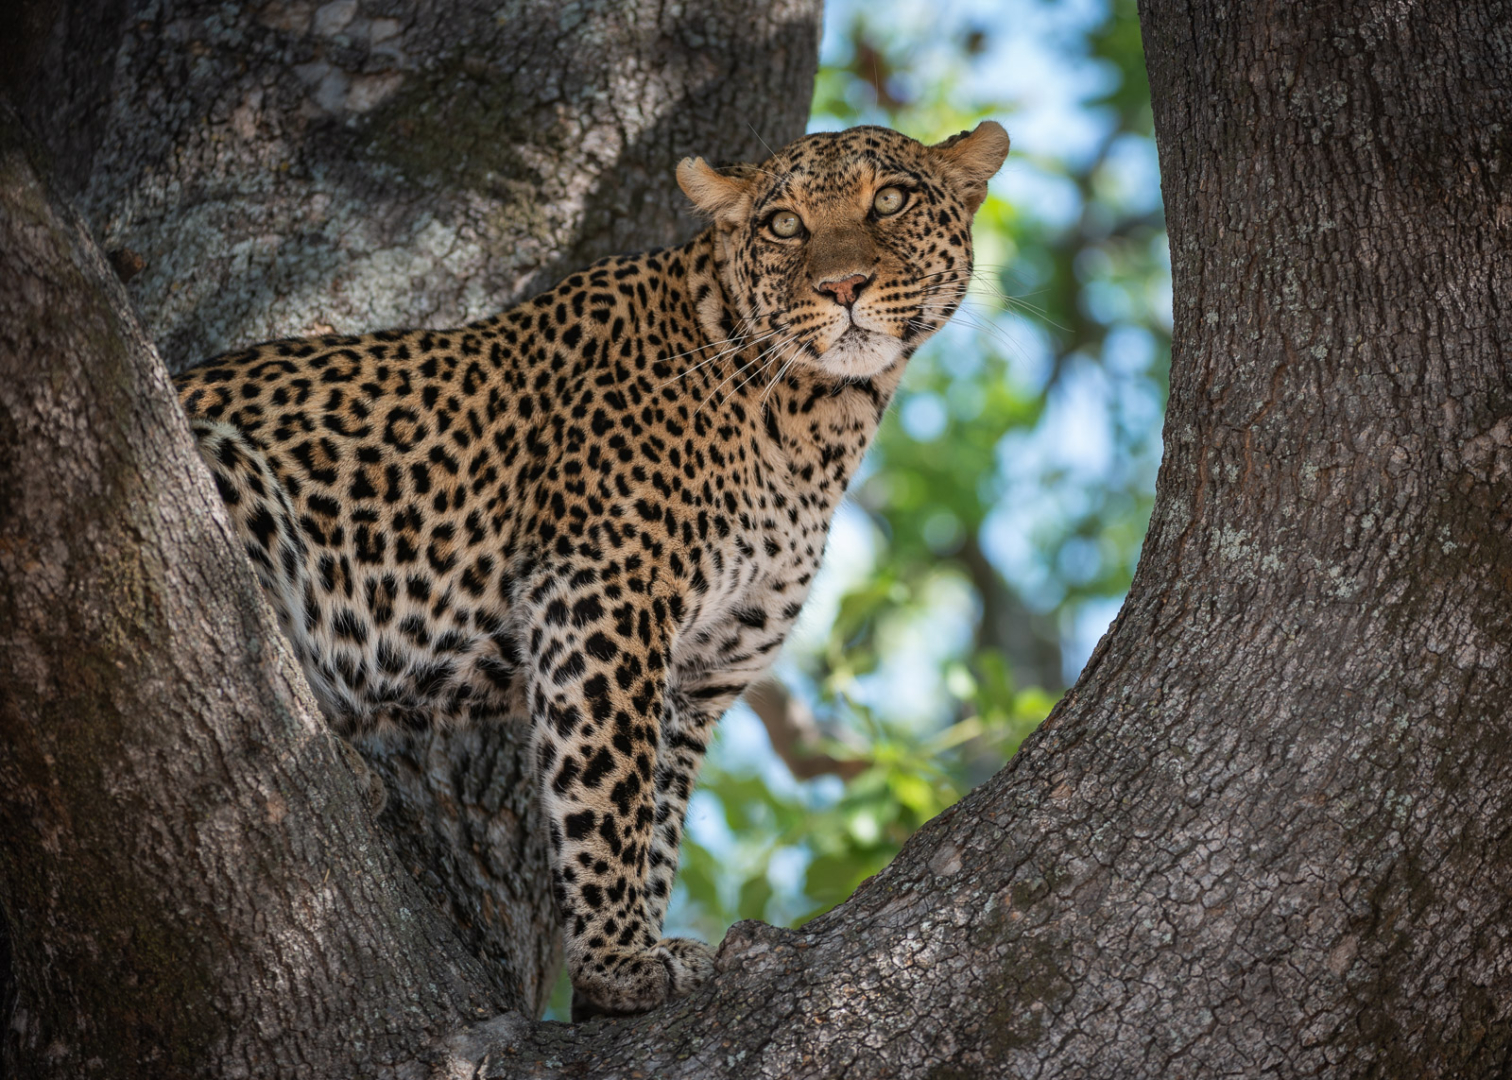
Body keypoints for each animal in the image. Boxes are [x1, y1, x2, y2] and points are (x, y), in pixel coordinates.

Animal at [174, 121, 1011, 1019]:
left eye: (888, 200)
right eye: (784, 224)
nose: (843, 285)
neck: (820, 420)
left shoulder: (701, 674)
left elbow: (659, 818)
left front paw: (631, 966)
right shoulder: (601, 593)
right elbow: (606, 791)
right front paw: (617, 961)